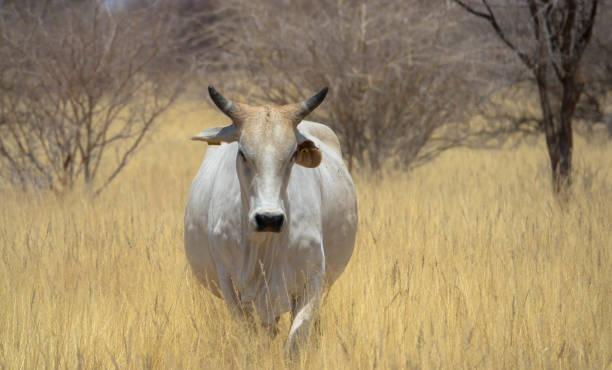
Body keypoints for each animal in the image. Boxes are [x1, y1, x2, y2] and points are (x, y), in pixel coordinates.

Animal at [185, 84, 358, 352]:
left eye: (292, 154)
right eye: (243, 152)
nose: (269, 219)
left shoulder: (312, 281)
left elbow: (295, 342)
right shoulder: (230, 285)